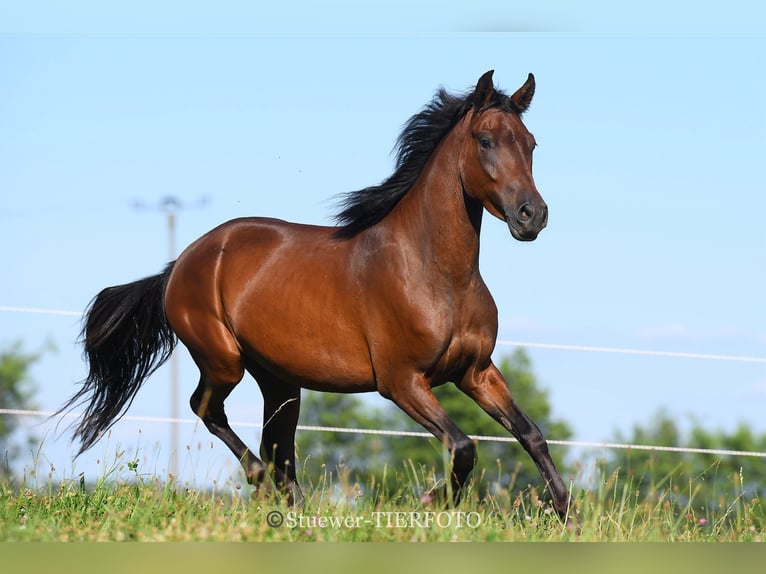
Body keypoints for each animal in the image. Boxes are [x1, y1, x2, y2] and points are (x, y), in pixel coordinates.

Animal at [60, 70, 569, 519]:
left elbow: (531, 435)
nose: (532, 215)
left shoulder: (476, 372)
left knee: (276, 446)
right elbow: (463, 446)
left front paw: (566, 515)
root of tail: (180, 264)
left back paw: (295, 507)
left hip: (279, 380)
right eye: (485, 140)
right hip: (224, 360)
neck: (438, 275)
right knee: (208, 410)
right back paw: (267, 487)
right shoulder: (402, 381)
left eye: (531, 143)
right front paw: (431, 502)